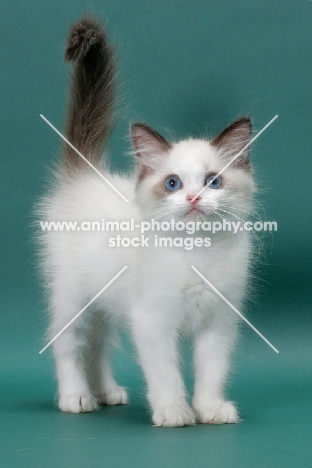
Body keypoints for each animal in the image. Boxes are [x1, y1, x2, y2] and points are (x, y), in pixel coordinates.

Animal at [37, 16, 256, 426]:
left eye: (213, 181)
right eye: (173, 184)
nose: (193, 198)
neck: (197, 252)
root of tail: (85, 174)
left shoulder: (218, 321)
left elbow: (212, 369)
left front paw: (210, 408)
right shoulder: (153, 320)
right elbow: (165, 372)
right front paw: (174, 410)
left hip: (106, 299)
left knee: (99, 345)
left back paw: (107, 392)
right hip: (71, 296)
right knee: (70, 344)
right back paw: (77, 397)